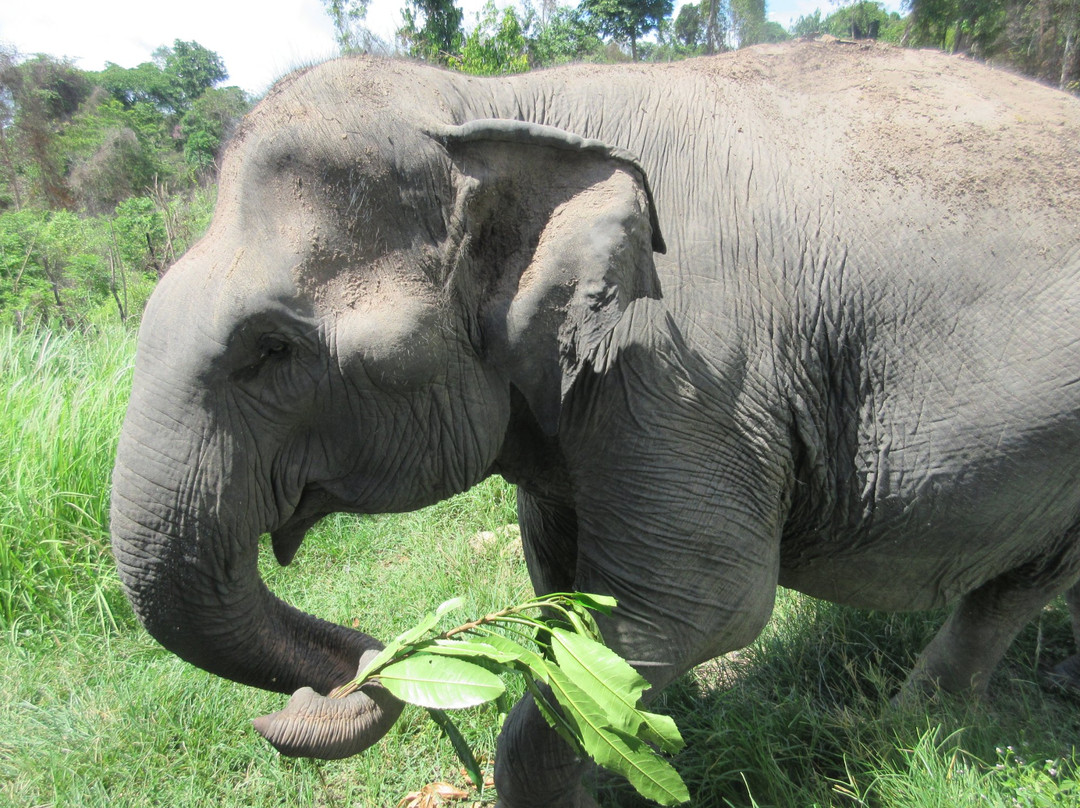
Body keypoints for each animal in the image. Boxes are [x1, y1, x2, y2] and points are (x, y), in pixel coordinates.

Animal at [109, 41, 1080, 803]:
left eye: (270, 349)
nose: (307, 704)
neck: (497, 103)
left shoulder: (688, 374)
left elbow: (705, 605)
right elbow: (559, 586)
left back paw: (905, 731)